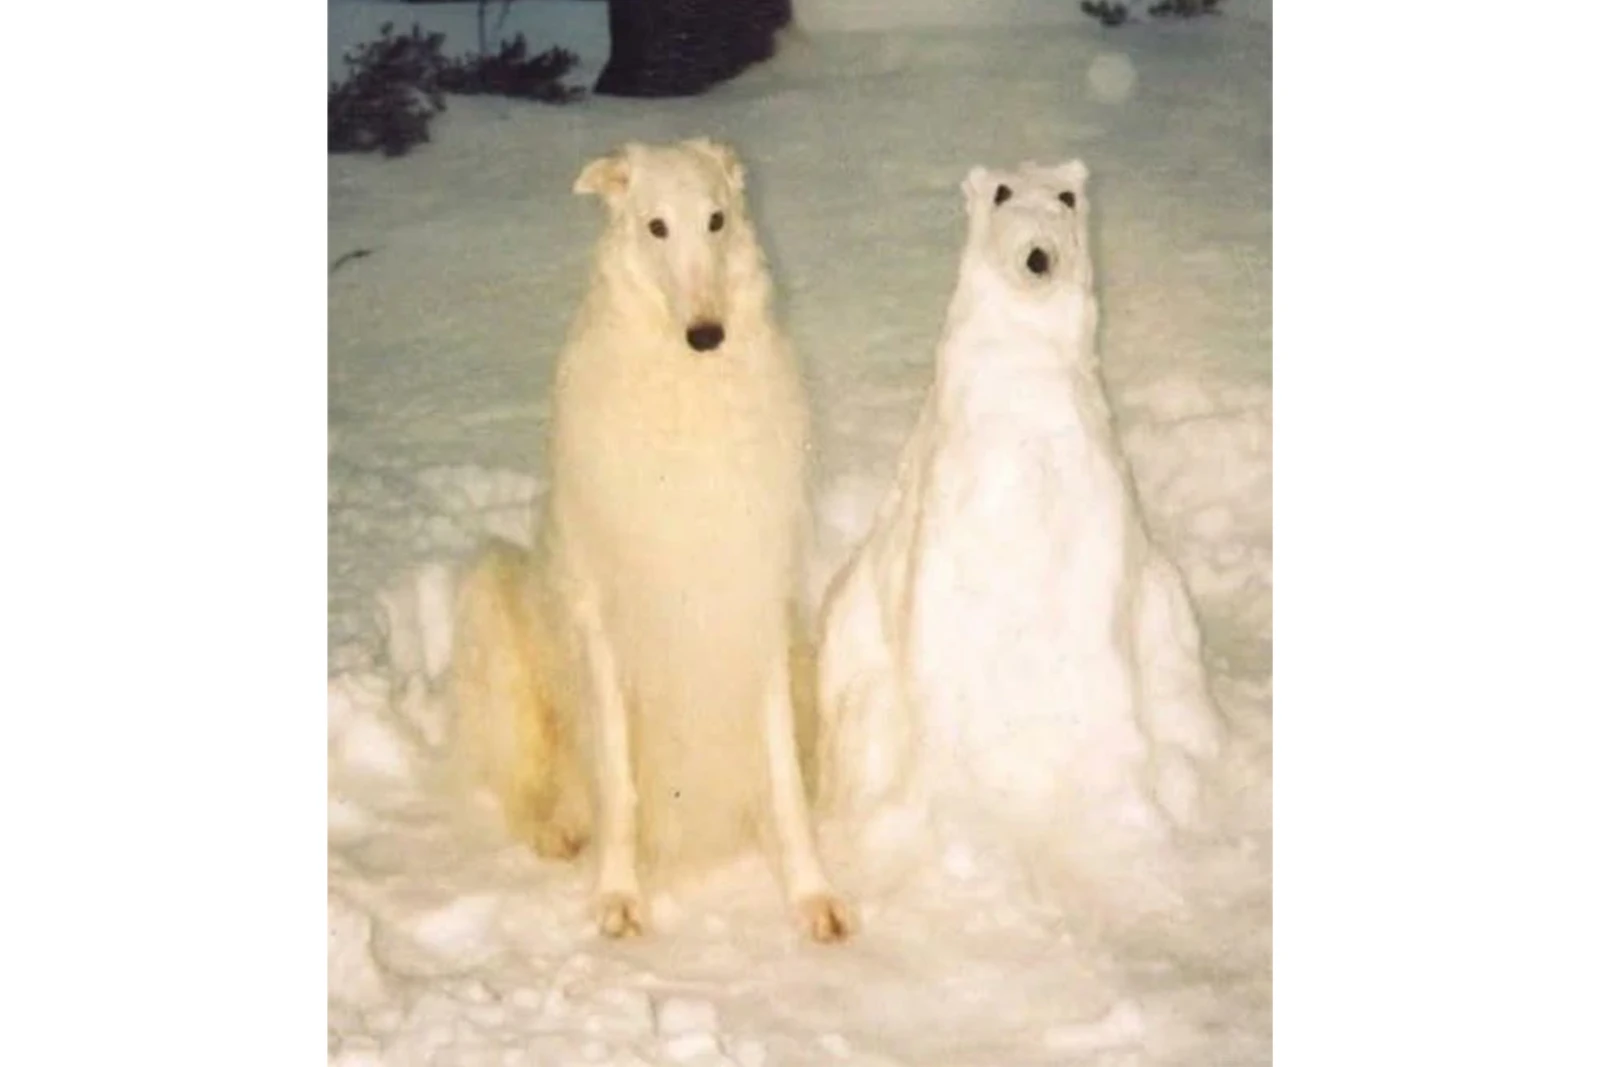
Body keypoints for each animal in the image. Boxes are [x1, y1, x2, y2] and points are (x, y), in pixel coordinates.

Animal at [451, 139, 851, 940]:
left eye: (717, 219)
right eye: (656, 226)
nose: (707, 335)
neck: (685, 399)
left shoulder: (753, 603)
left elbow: (783, 780)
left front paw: (810, 895)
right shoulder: (605, 622)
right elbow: (621, 784)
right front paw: (618, 895)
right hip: (491, 596)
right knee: (529, 785)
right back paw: (559, 827)